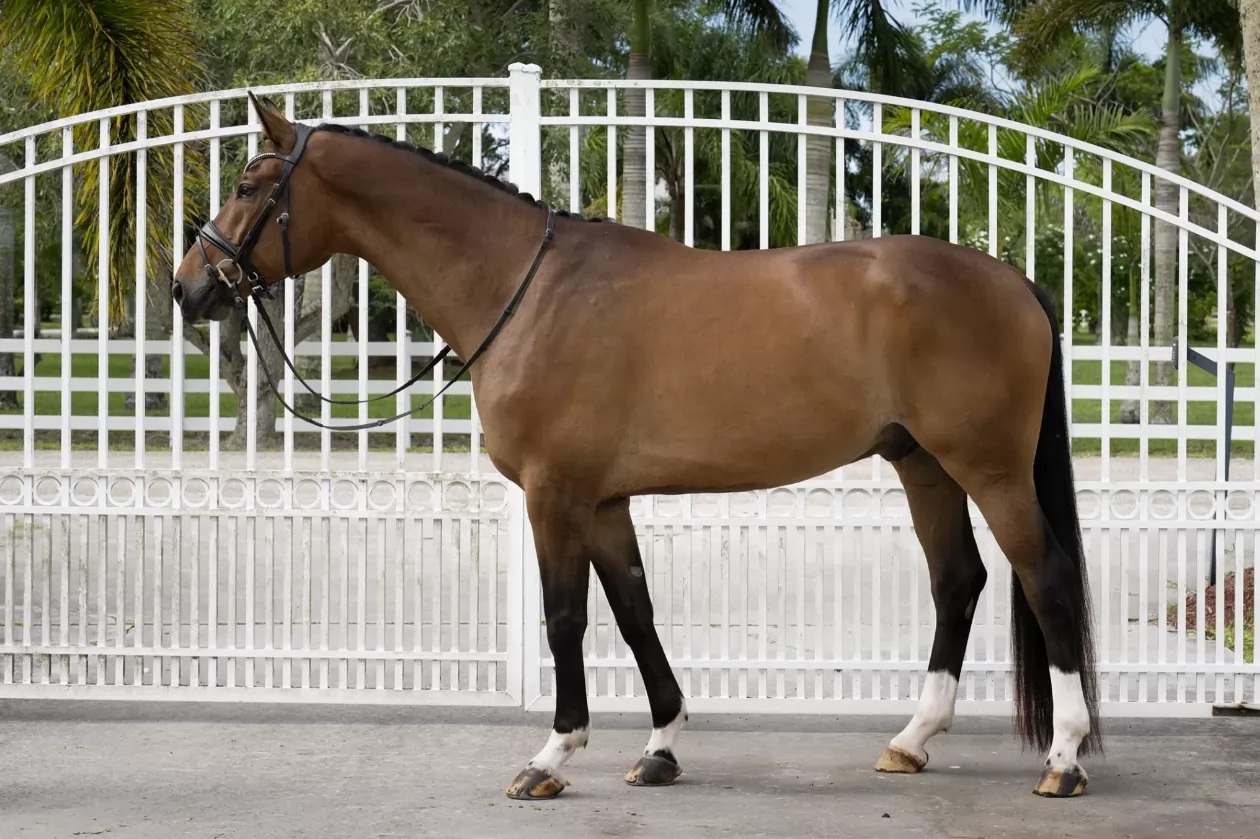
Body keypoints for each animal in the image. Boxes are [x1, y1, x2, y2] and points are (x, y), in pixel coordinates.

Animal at [171, 92, 1102, 801]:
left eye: (250, 184)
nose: (187, 287)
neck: (529, 288)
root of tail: (1013, 280)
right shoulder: (605, 498)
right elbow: (633, 609)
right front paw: (660, 745)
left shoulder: (554, 492)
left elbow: (565, 616)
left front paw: (551, 755)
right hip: (923, 464)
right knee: (959, 580)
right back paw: (913, 738)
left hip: (987, 468)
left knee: (1045, 575)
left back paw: (1063, 757)